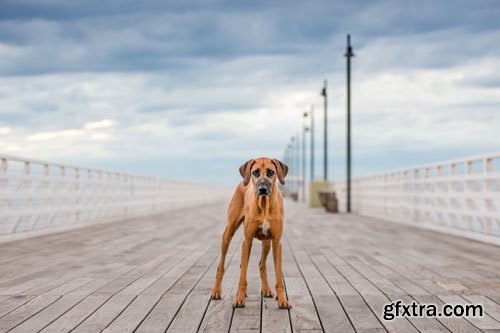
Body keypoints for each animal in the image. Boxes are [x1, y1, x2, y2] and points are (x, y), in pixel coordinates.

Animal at [210, 157, 290, 308]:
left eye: (271, 172)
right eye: (255, 172)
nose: (262, 189)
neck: (264, 205)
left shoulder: (277, 242)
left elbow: (278, 276)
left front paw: (282, 300)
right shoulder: (247, 240)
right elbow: (242, 275)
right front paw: (239, 298)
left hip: (267, 243)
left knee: (261, 265)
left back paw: (266, 289)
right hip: (228, 233)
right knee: (221, 266)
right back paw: (216, 291)